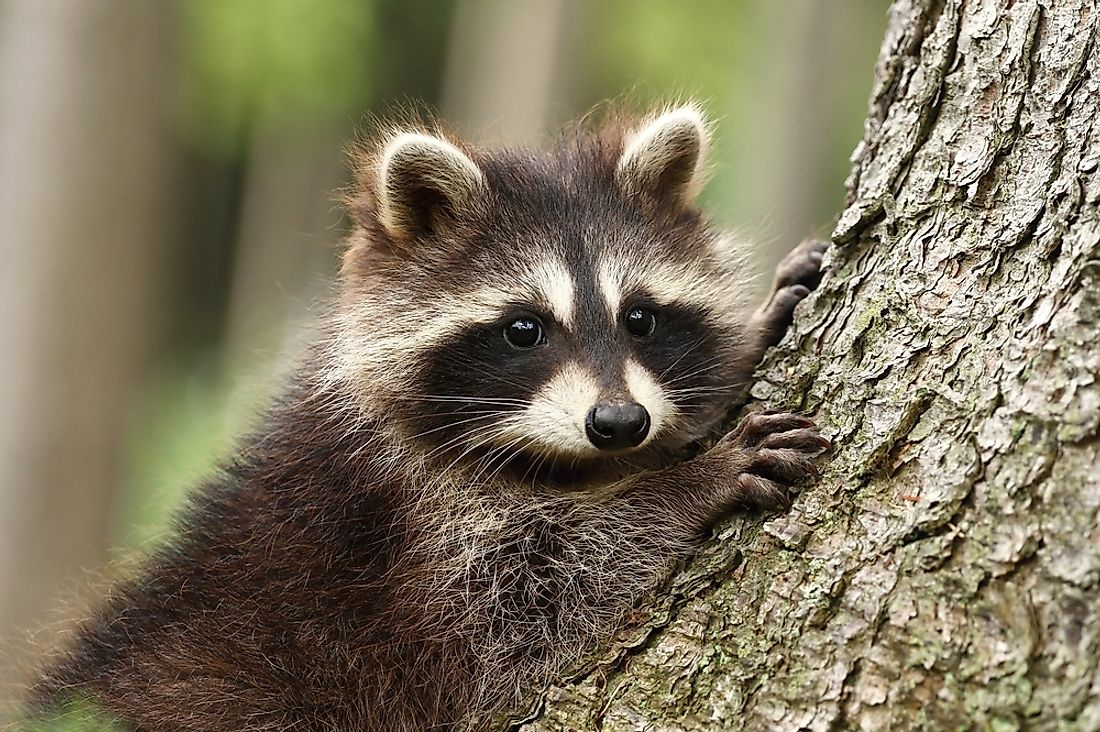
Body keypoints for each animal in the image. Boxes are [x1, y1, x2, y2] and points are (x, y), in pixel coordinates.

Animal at [30, 104, 827, 730]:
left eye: (640, 318)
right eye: (524, 329)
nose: (619, 422)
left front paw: (738, 353)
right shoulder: (407, 537)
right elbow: (533, 599)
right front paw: (684, 486)